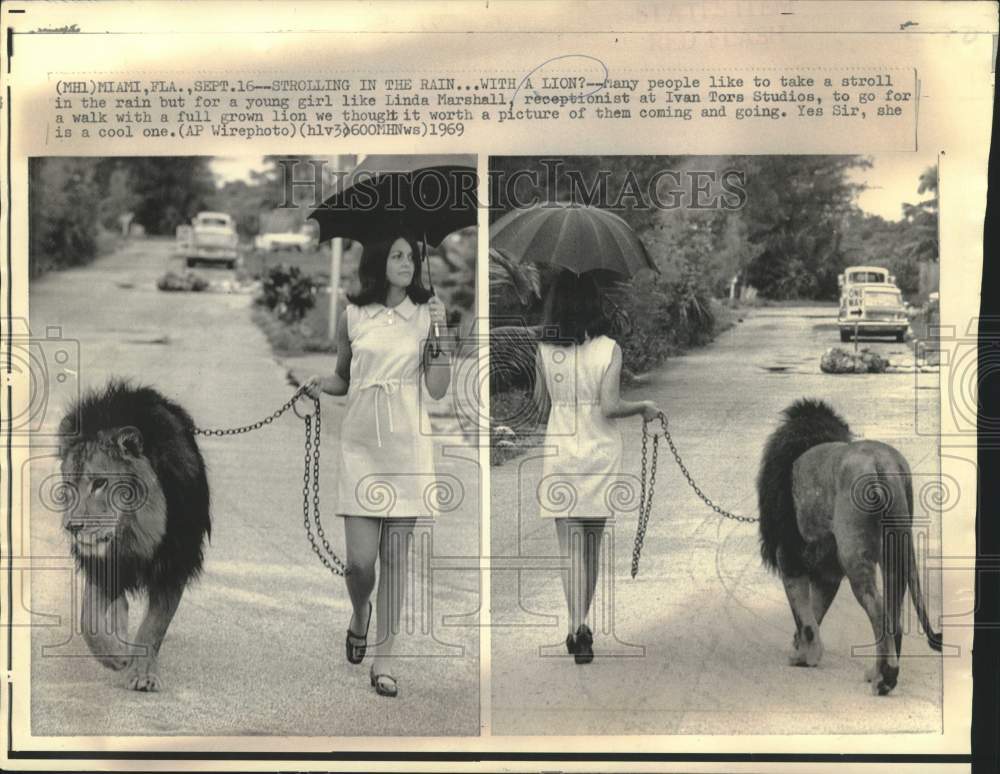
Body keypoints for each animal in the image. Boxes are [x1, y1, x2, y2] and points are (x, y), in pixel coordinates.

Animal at [57, 380, 211, 692]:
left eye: (100, 483)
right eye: (69, 484)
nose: (73, 527)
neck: (134, 536)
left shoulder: (173, 567)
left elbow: (153, 627)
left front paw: (142, 673)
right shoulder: (103, 568)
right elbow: (88, 621)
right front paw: (116, 657)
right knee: (119, 606)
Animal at [760, 400, 940, 696]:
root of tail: (884, 464)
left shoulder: (789, 556)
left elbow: (804, 614)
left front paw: (803, 656)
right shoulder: (828, 570)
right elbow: (815, 612)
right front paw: (805, 652)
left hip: (854, 554)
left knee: (878, 610)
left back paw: (884, 679)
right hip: (895, 551)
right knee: (893, 615)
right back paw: (876, 673)